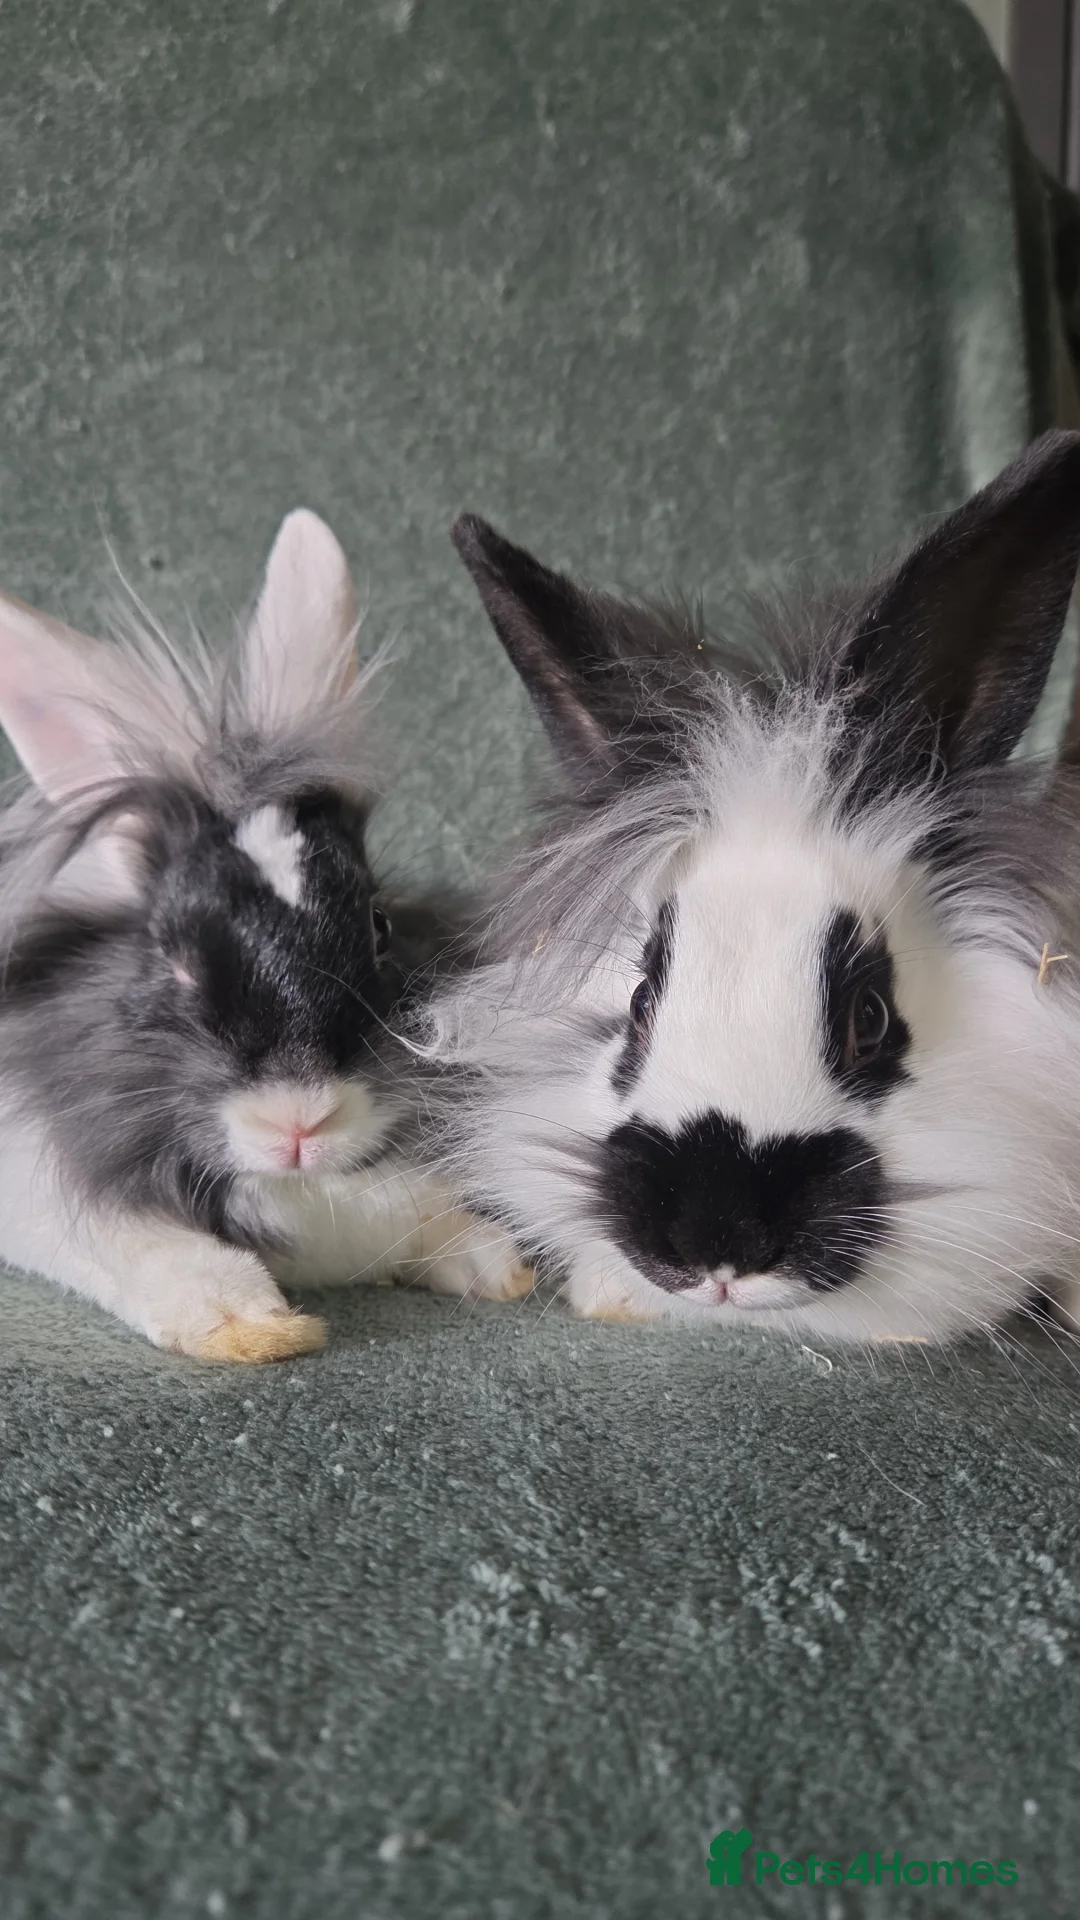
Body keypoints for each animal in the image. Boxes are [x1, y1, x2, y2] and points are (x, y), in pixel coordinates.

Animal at [0, 508, 529, 1361]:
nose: (300, 1123)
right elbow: (156, 1251)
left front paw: (494, 1264)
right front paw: (255, 1329)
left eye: (379, 926)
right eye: (173, 958)